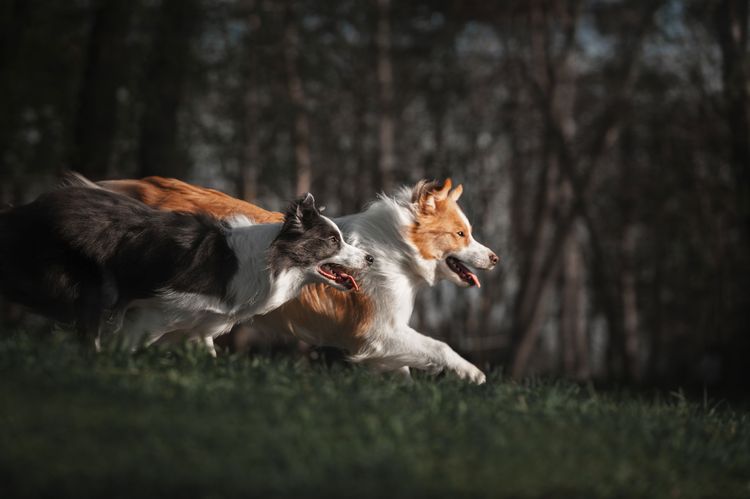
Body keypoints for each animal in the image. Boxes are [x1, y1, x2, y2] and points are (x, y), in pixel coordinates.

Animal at [0, 186, 374, 354]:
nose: (370, 258)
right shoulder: (154, 314)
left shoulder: (202, 325)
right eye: (332, 240)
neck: (271, 260)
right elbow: (128, 346)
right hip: (83, 286)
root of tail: (27, 207)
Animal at [81, 176, 500, 382]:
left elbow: (404, 371)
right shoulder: (377, 330)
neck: (395, 247)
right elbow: (439, 347)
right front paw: (473, 373)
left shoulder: (382, 339)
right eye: (461, 234)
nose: (496, 258)